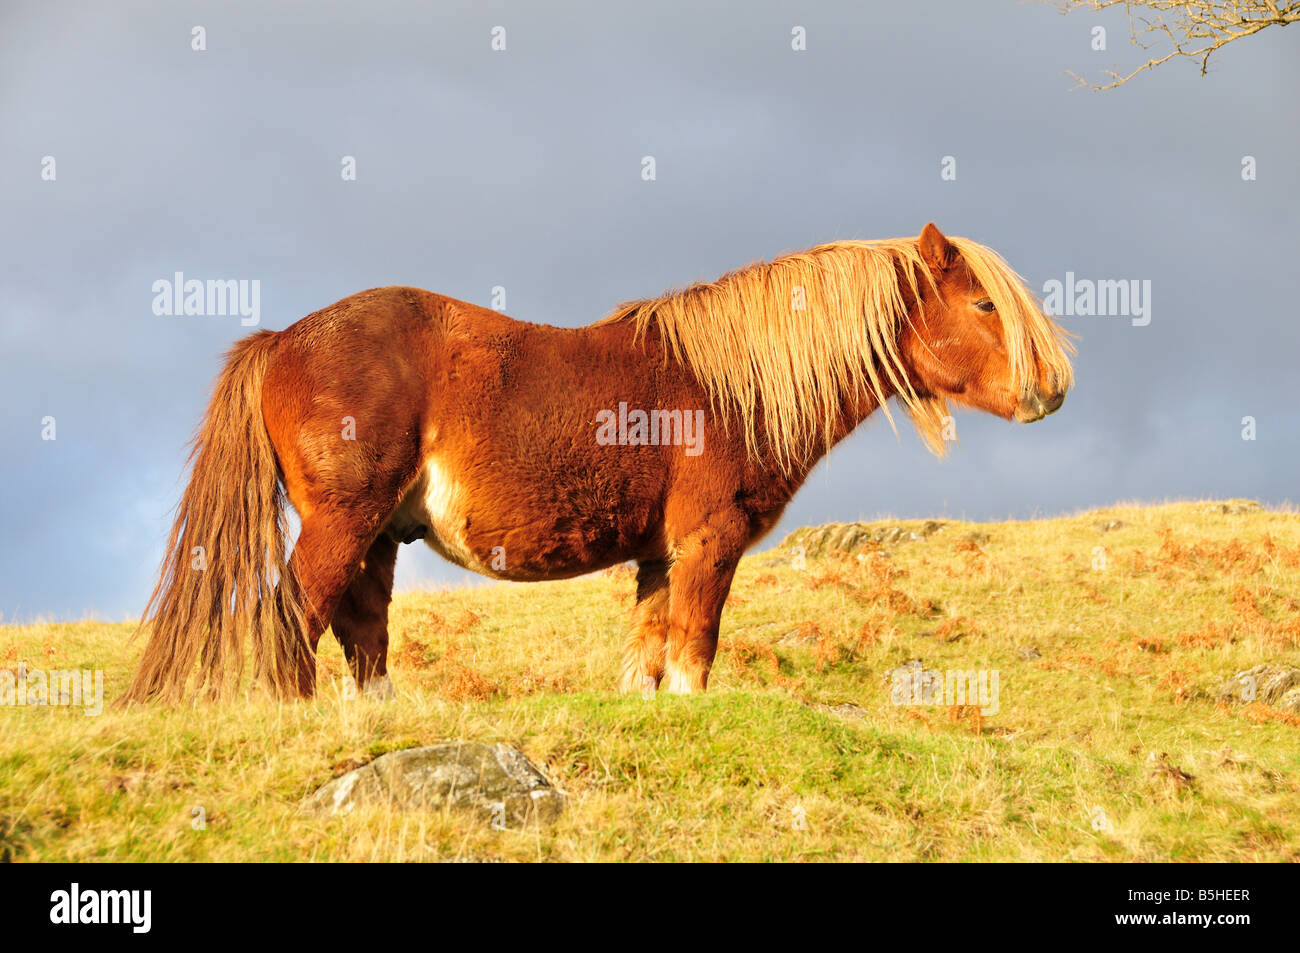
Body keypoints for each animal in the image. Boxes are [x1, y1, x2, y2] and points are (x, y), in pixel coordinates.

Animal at [124, 221, 1076, 696]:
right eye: (983, 304)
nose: (1052, 391)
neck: (727, 383)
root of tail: (281, 339)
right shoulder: (707, 545)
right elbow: (694, 652)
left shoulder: (659, 556)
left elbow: (646, 657)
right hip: (341, 525)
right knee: (292, 619)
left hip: (378, 539)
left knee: (362, 636)